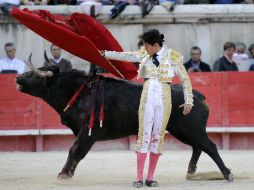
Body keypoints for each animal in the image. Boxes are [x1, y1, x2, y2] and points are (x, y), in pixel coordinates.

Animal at [15, 56, 234, 183]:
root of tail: (195, 95)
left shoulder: (88, 132)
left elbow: (75, 150)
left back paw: (227, 174)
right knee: (198, 147)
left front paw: (63, 174)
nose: (17, 78)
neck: (77, 91)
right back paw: (190, 171)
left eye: (33, 74)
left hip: (191, 129)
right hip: (181, 131)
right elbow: (77, 152)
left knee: (209, 146)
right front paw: (68, 173)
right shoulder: (81, 132)